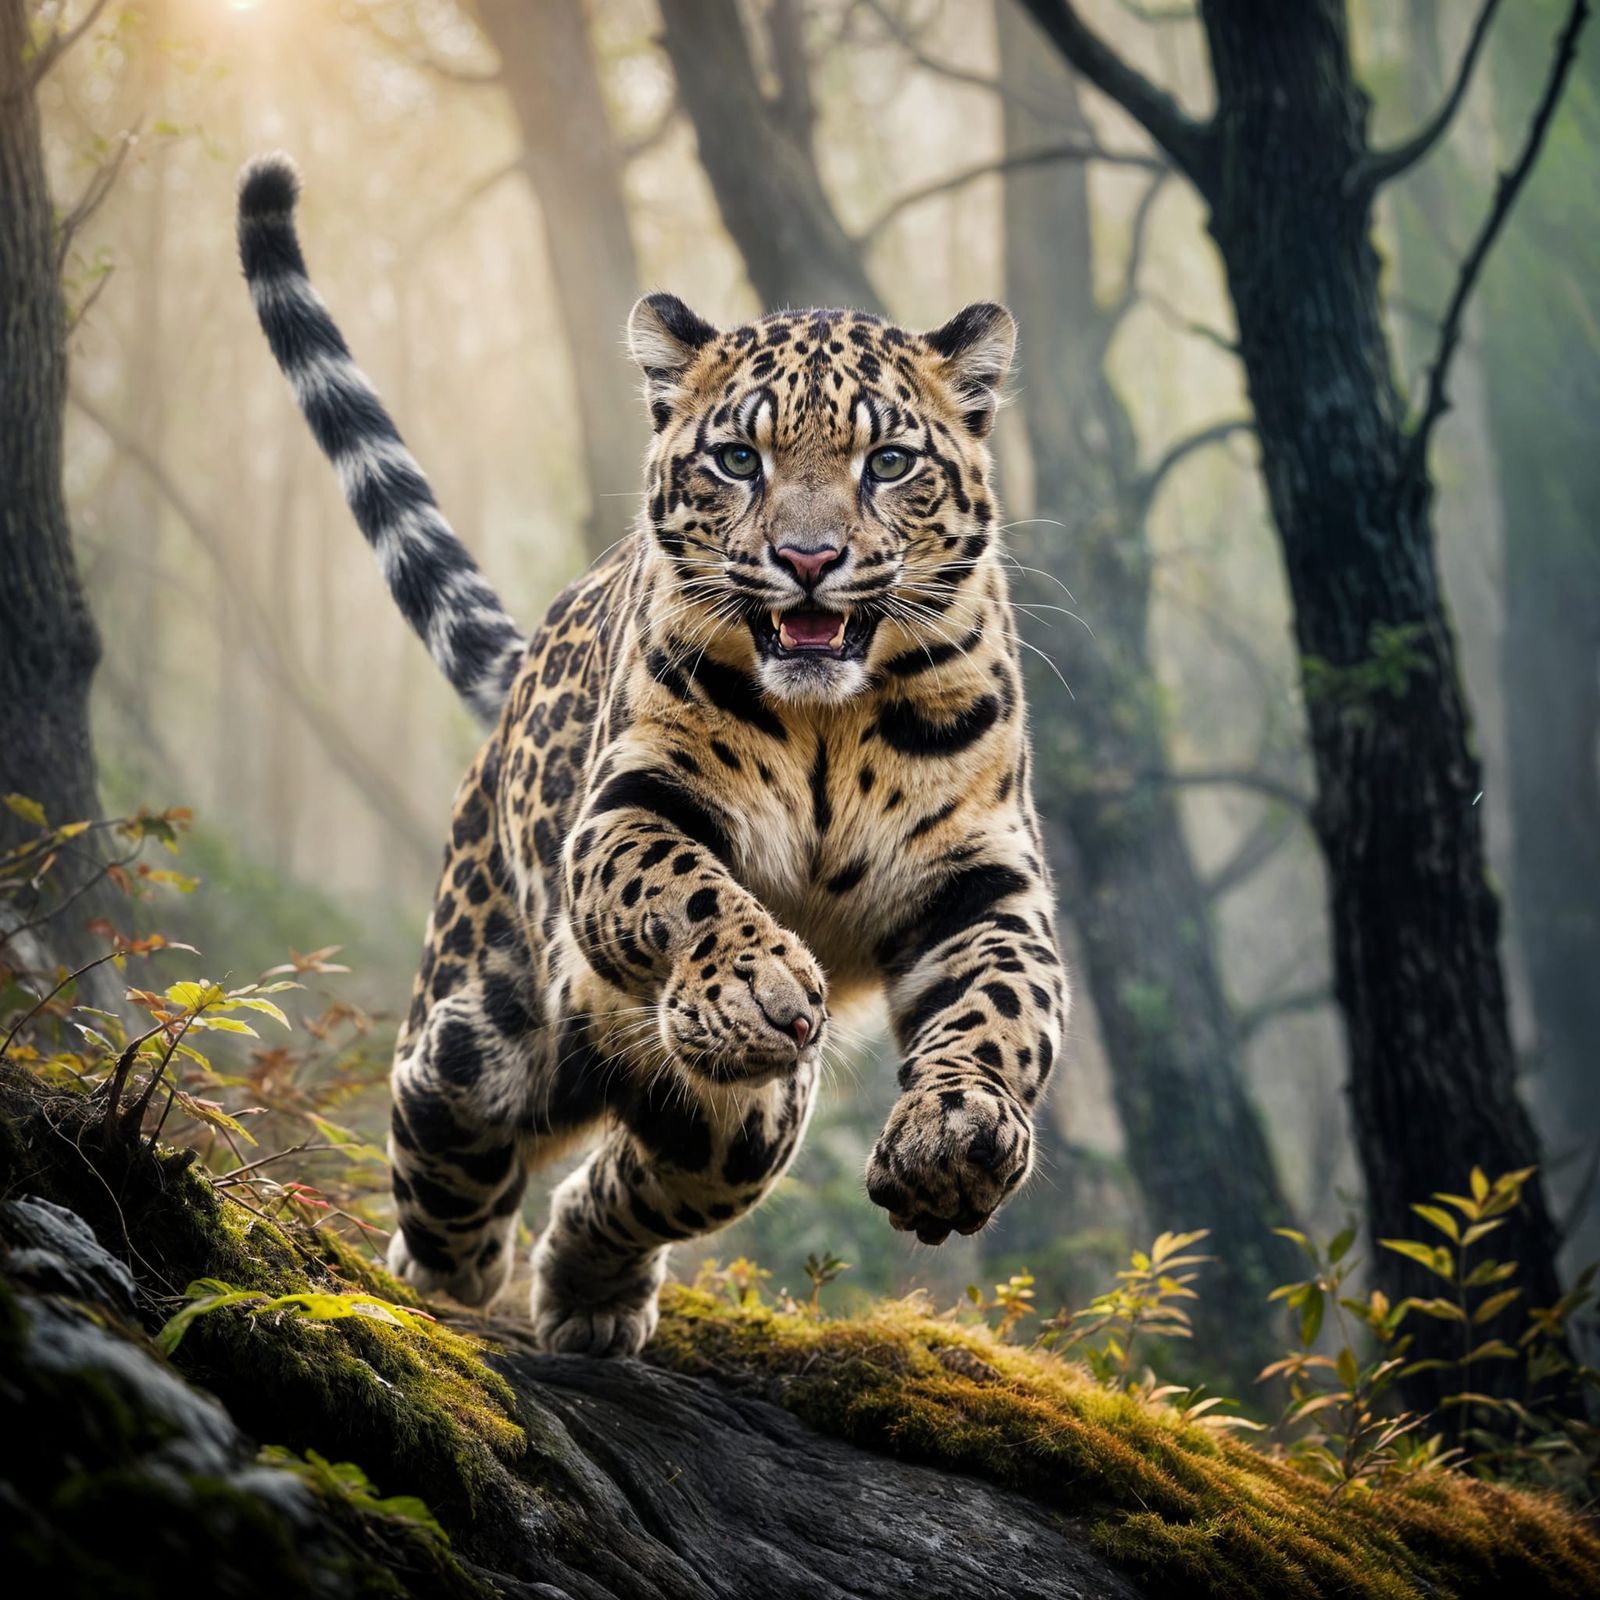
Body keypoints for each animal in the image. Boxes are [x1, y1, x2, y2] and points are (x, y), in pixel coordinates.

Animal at [238, 154, 1069, 1357]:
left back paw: (589, 1291)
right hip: (478, 1020)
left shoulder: (979, 875)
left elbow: (1003, 999)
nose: (807, 559)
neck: (830, 725)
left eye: (888, 462)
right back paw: (449, 1267)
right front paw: (757, 979)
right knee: (447, 1117)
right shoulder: (631, 805)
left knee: (662, 1167)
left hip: (743, 1117)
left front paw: (955, 1131)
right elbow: (684, 885)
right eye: (736, 459)